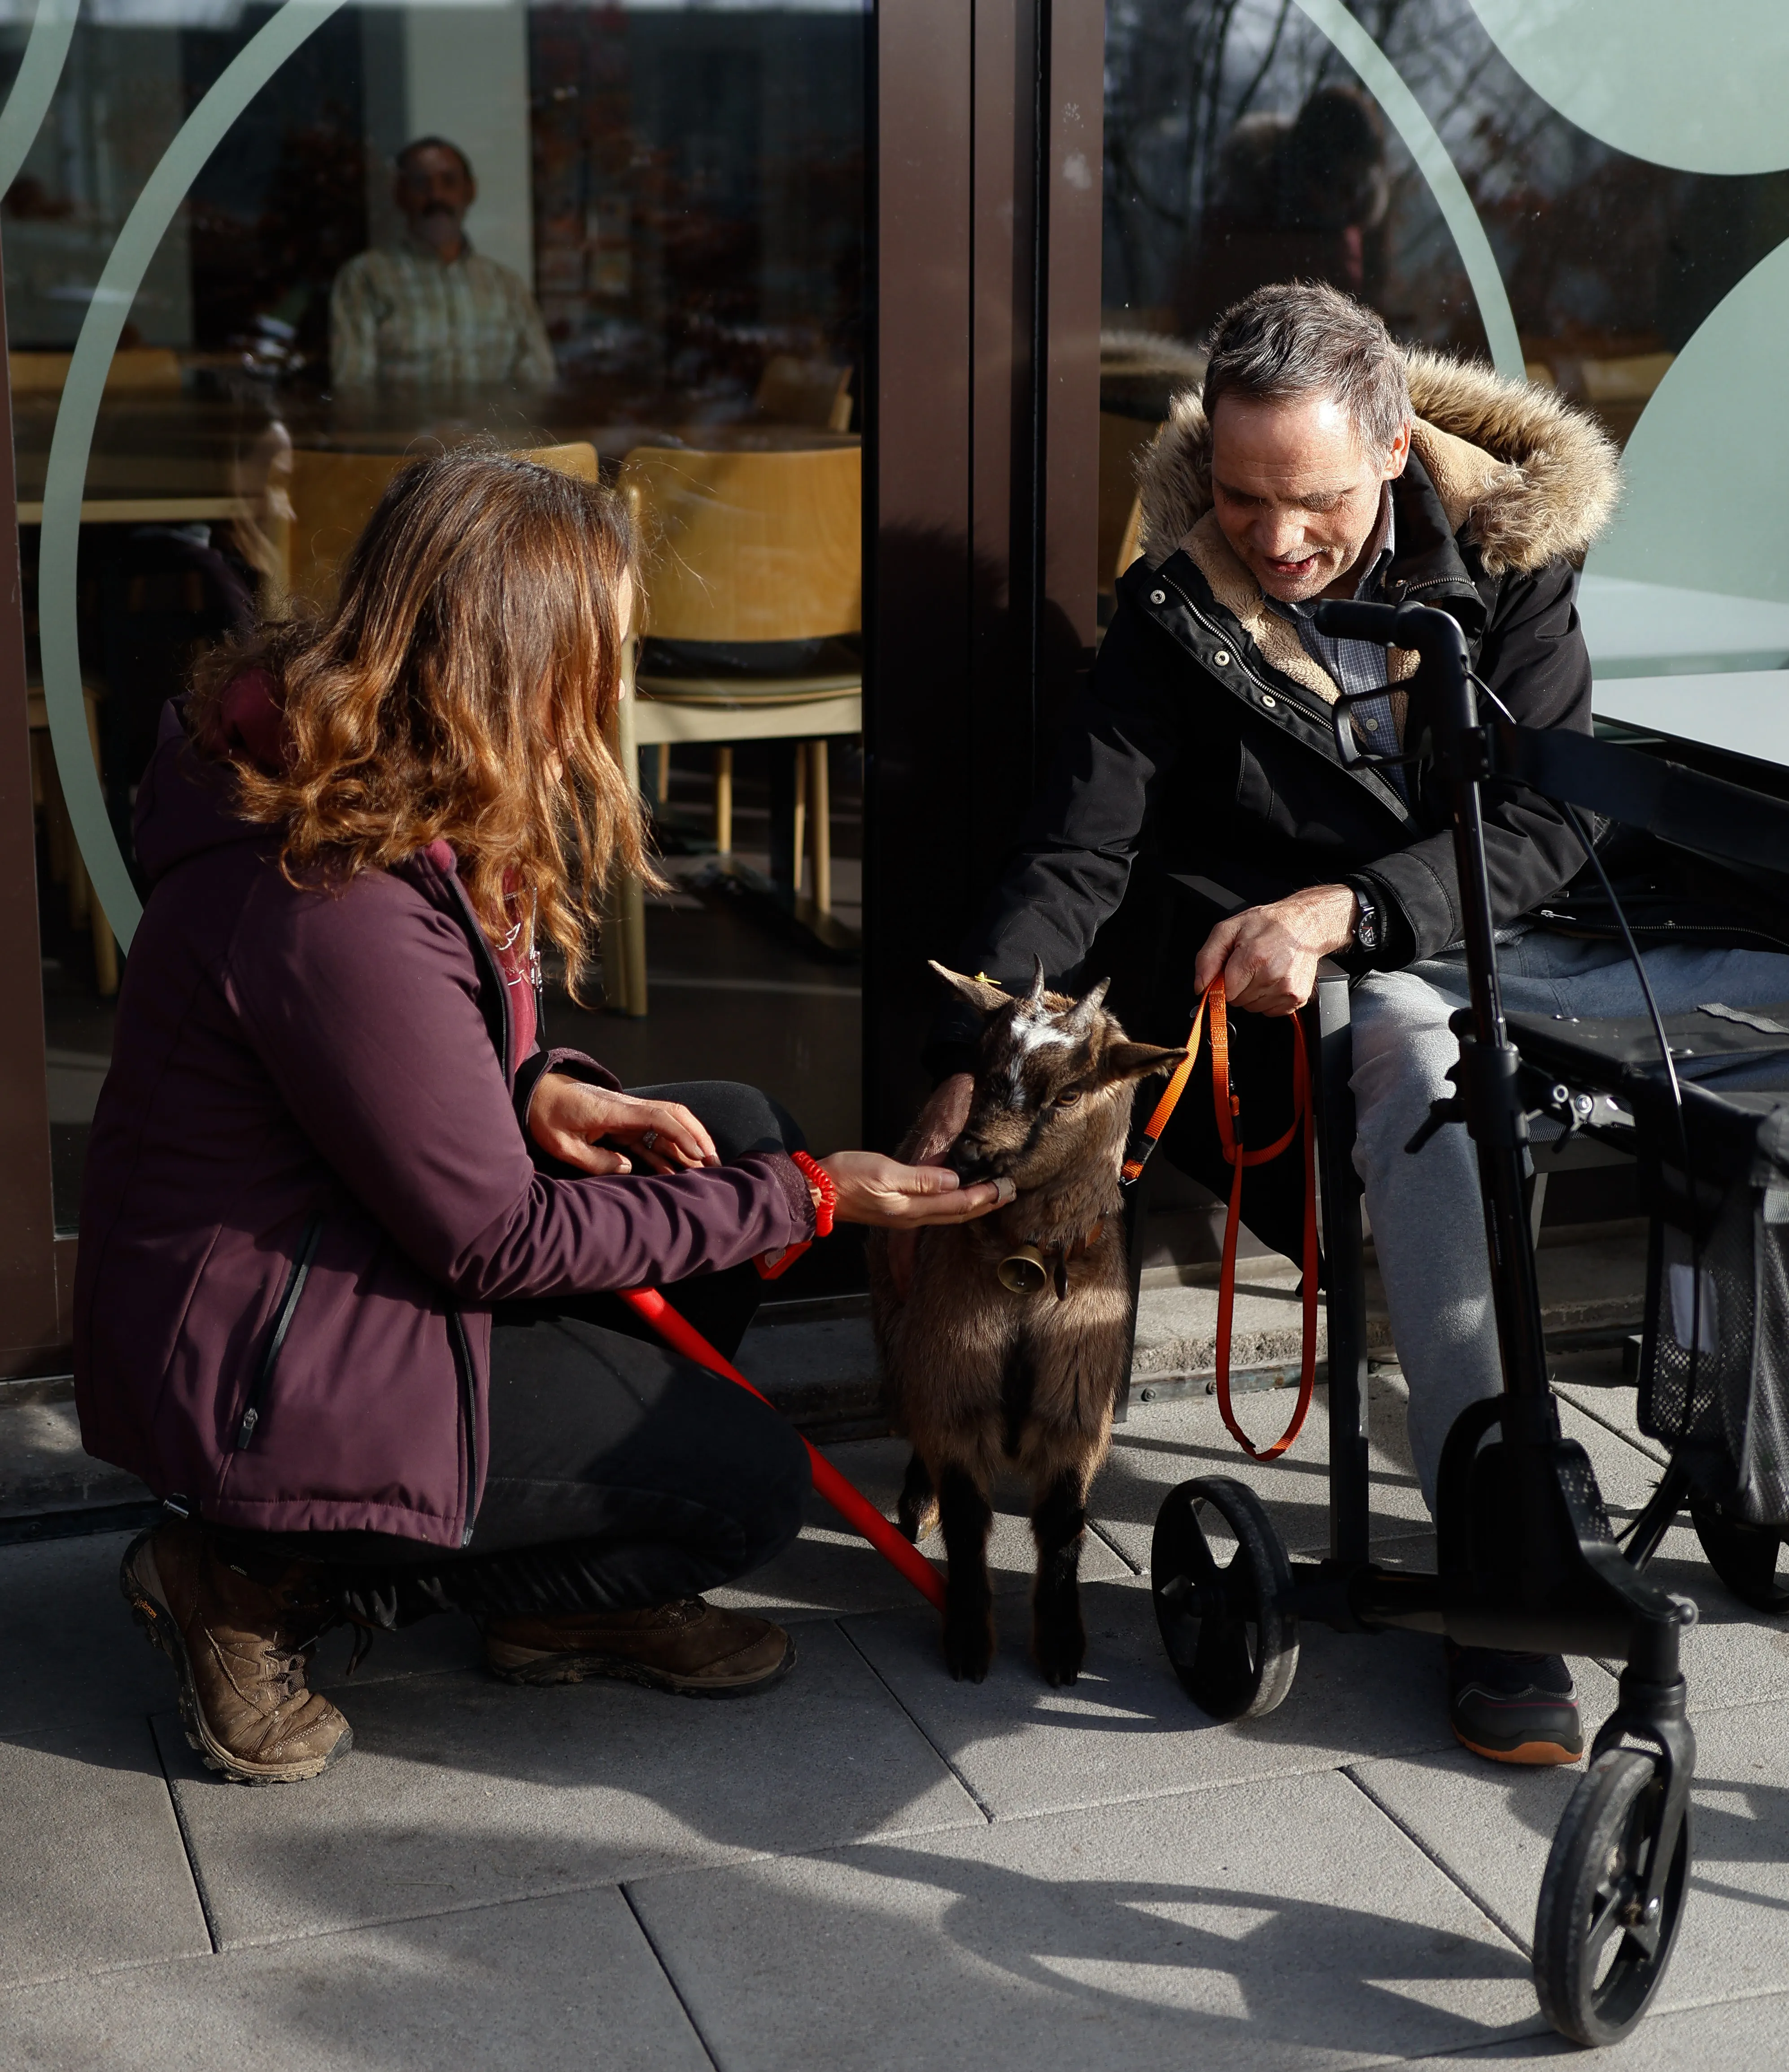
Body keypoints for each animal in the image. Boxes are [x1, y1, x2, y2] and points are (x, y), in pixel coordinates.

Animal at [870, 953, 1186, 1682]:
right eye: (985, 1065)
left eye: (1069, 1095)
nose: (969, 1160)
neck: (1025, 1272)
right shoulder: (955, 1382)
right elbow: (967, 1517)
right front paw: (967, 1643)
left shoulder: (1076, 1405)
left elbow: (1064, 1524)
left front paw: (1063, 1647)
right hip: (902, 1331)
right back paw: (915, 1503)